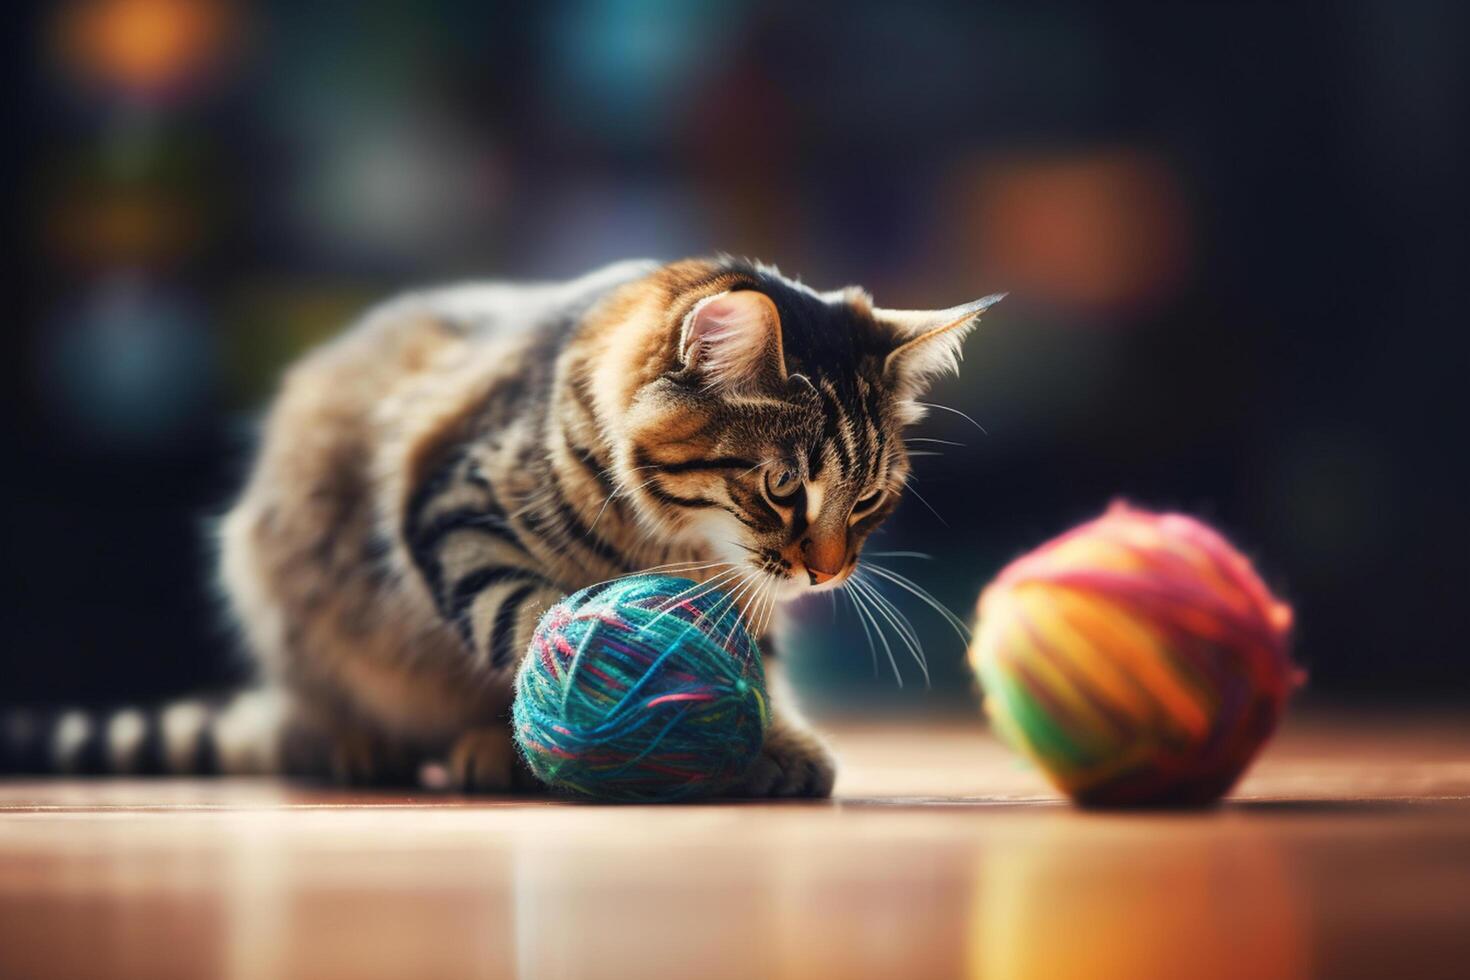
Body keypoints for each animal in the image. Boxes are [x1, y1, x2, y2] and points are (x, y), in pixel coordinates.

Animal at [0, 255, 999, 799]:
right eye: (783, 489)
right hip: (282, 587)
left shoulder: (742, 591)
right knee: (327, 719)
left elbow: (761, 664)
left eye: (868, 501)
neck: (670, 541)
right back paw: (374, 745)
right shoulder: (454, 508)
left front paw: (776, 739)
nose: (827, 574)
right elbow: (526, 618)